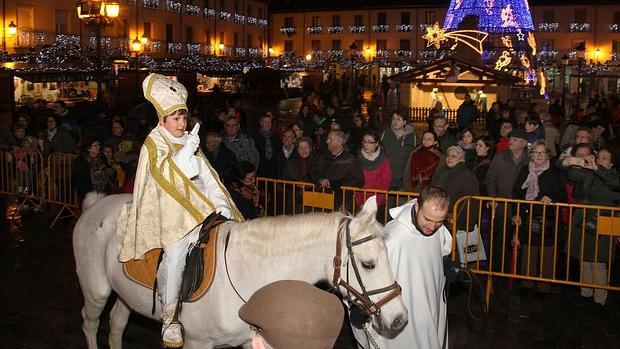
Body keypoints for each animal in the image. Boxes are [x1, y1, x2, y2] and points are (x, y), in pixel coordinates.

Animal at [74, 193, 406, 348]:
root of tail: (95, 204)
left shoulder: (253, 339)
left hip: (126, 295)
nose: (399, 318)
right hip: (96, 291)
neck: (249, 274)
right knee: (90, 323)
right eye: (368, 264)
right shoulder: (197, 343)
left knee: (117, 323)